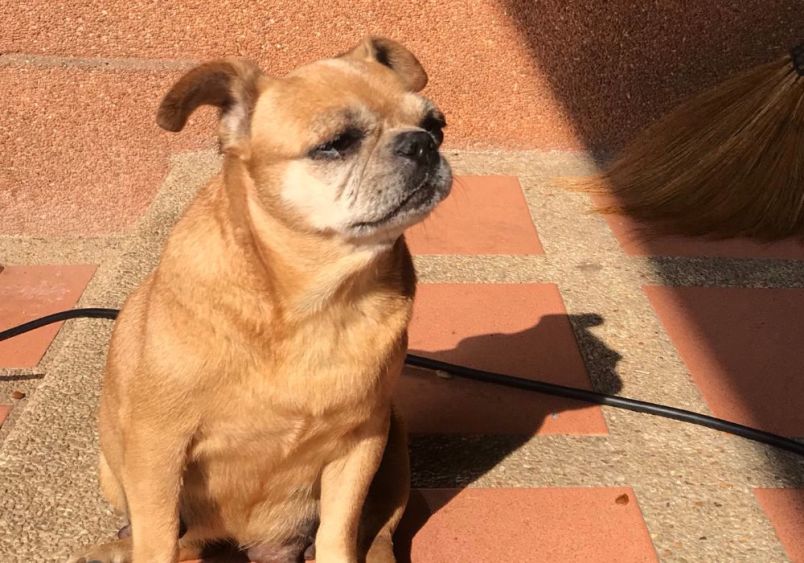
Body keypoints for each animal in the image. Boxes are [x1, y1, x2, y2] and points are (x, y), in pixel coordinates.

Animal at [70, 36, 452, 563]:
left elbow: (339, 531)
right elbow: (158, 538)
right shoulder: (157, 448)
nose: (421, 142)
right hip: (116, 470)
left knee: (374, 537)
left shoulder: (362, 442)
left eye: (437, 125)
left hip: (394, 449)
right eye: (336, 143)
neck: (313, 302)